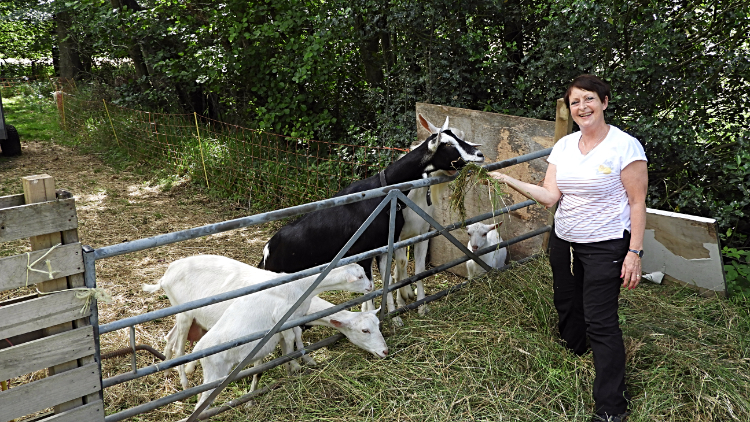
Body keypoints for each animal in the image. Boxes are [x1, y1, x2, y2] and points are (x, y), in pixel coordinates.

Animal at [191, 258, 374, 410]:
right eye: (359, 277)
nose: (371, 287)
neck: (301, 286)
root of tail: (200, 348)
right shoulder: (282, 317)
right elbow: (291, 338)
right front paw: (295, 364)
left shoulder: (294, 318)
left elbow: (295, 336)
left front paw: (299, 363)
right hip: (214, 370)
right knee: (202, 402)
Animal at [262, 114, 488, 326]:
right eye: (448, 144)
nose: (480, 154)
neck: (384, 191)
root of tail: (266, 252)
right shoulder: (364, 251)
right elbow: (373, 287)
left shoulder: (383, 246)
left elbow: (391, 278)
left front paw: (396, 315)